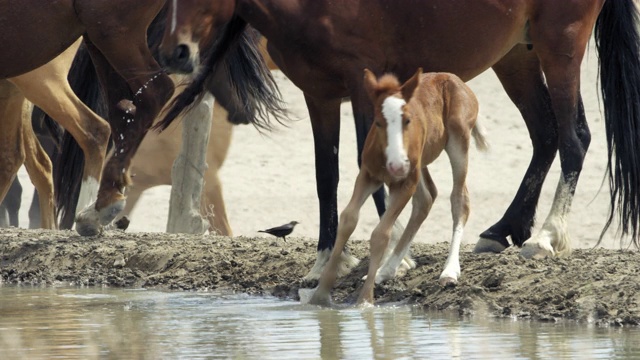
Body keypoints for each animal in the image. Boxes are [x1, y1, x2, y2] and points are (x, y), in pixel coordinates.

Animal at [0, 0, 284, 236]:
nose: (245, 110)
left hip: (108, 33)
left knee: (125, 110)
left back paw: (95, 209)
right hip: (89, 41)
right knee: (114, 115)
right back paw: (98, 208)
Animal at [159, 0, 640, 280]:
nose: (172, 52)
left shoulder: (363, 85)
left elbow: (368, 162)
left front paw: (394, 254)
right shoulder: (319, 96)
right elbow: (325, 174)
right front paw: (325, 260)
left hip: (560, 45)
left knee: (574, 137)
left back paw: (546, 235)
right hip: (517, 54)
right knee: (545, 134)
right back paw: (504, 229)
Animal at [308, 69, 488, 306]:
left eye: (408, 120)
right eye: (377, 122)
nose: (397, 165)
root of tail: (453, 78)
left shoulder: (405, 182)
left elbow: (381, 233)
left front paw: (365, 300)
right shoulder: (368, 176)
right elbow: (348, 219)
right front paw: (320, 293)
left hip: (458, 141)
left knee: (459, 200)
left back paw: (449, 272)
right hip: (421, 163)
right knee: (426, 199)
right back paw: (385, 271)